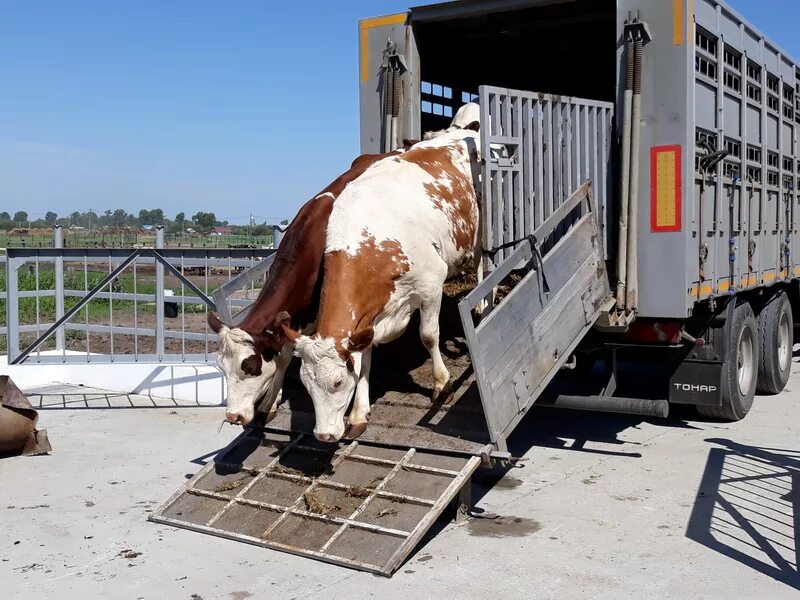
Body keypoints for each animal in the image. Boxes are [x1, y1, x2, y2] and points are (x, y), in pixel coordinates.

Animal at [206, 150, 400, 426]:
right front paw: (272, 399)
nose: (234, 416)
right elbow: (283, 354)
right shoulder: (294, 315)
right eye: (221, 367)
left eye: (250, 367)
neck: (310, 245)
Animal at [282, 127, 482, 440]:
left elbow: (428, 335)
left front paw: (441, 385)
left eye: (337, 382)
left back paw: (484, 304)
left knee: (485, 261)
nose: (324, 435)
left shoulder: (431, 282)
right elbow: (364, 360)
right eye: (305, 384)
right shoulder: (366, 320)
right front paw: (359, 413)